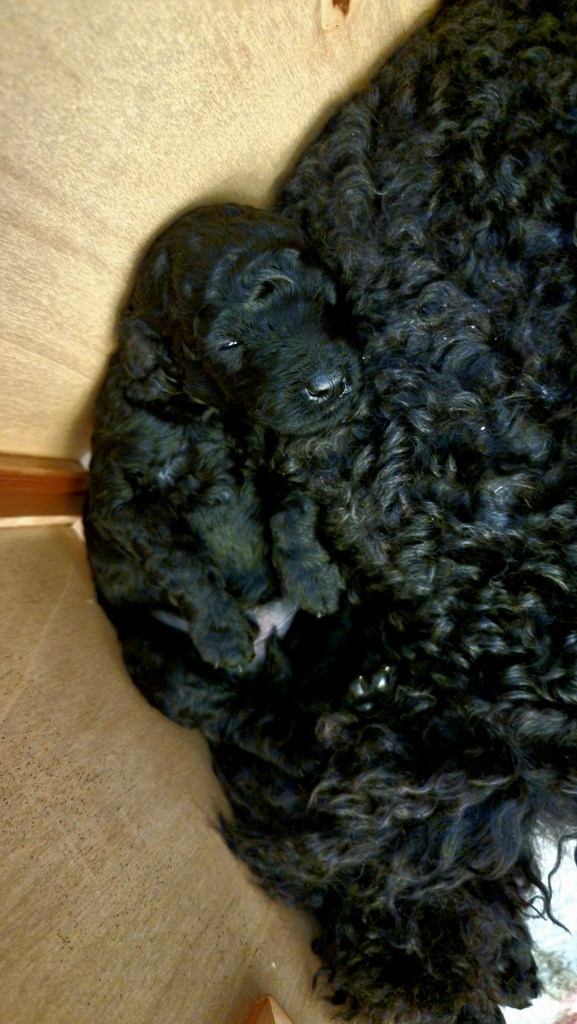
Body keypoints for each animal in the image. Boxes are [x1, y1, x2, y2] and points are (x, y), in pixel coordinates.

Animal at [85, 203, 360, 671]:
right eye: (229, 343)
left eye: (324, 298)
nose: (331, 386)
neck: (213, 416)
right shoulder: (120, 502)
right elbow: (179, 559)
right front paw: (221, 632)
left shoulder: (285, 448)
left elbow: (292, 508)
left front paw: (313, 578)